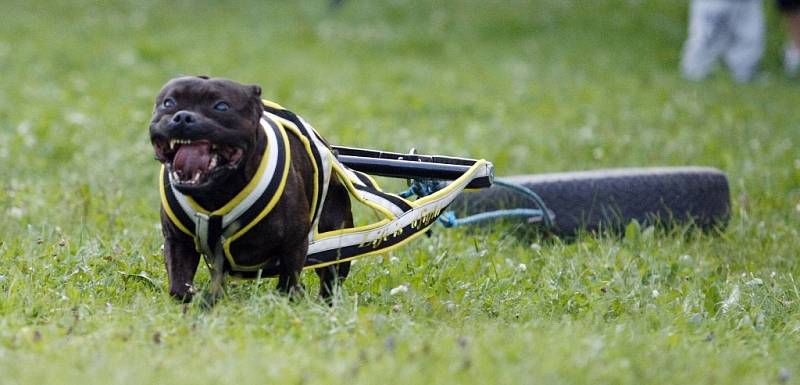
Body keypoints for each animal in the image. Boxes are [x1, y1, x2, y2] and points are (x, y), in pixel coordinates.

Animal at [150, 76, 350, 302]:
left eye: (221, 106)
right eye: (168, 103)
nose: (183, 116)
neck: (216, 193)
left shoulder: (293, 245)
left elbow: (288, 280)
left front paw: (284, 301)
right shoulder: (177, 242)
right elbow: (179, 284)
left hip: (336, 236)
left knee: (331, 277)